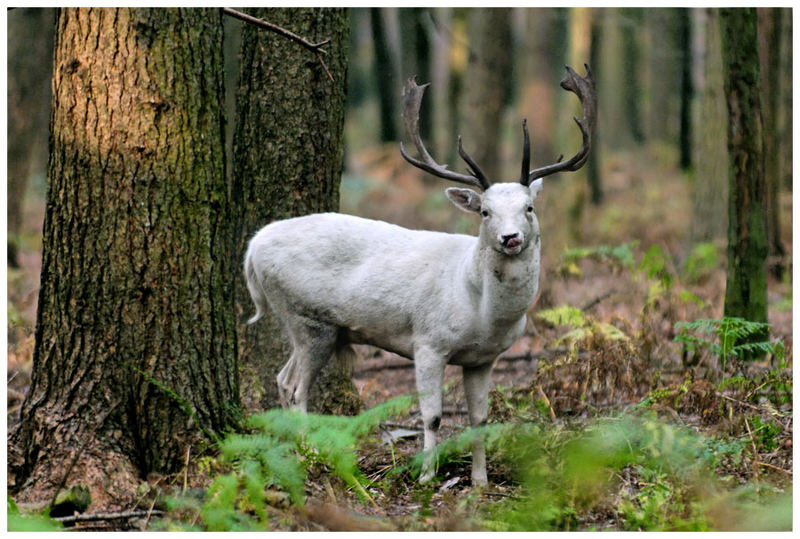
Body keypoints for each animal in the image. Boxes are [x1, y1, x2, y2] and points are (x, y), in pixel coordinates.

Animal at [244, 65, 592, 488]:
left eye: (529, 207)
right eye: (485, 212)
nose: (511, 238)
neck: (480, 310)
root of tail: (253, 247)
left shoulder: (484, 359)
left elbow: (480, 418)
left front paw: (480, 481)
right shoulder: (428, 341)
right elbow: (433, 415)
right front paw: (427, 476)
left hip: (310, 324)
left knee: (281, 379)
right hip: (307, 318)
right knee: (295, 387)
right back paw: (308, 452)